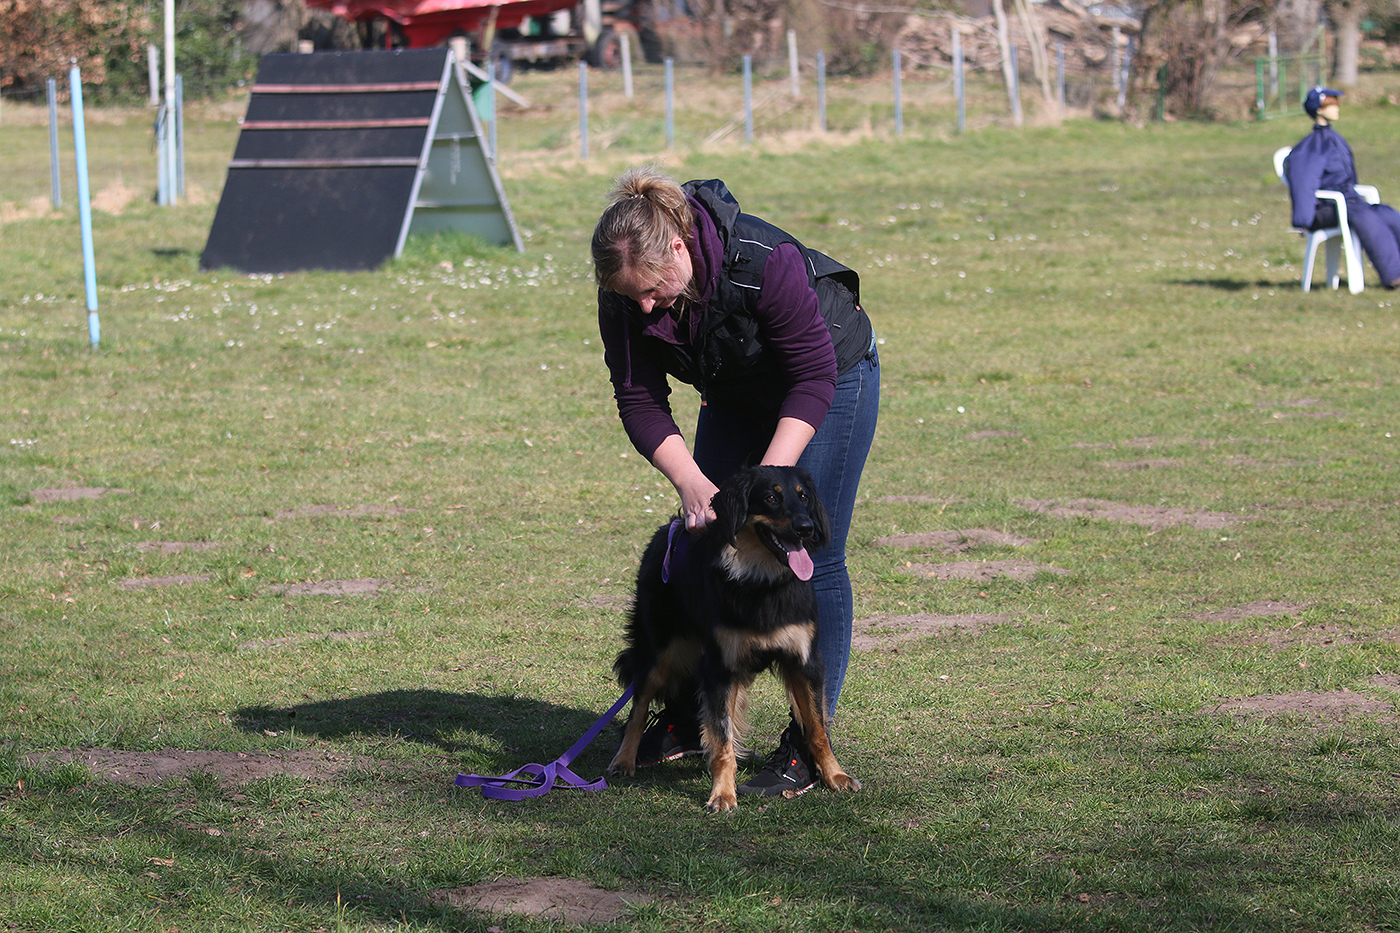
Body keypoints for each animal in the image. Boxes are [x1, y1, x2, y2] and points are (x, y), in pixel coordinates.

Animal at [608, 464, 860, 813]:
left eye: (804, 497)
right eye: (771, 498)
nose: (806, 528)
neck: (762, 580)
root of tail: (670, 529)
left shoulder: (805, 662)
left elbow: (817, 727)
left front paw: (834, 775)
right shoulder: (720, 668)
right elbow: (722, 739)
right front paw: (723, 793)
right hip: (657, 651)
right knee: (638, 707)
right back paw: (624, 759)